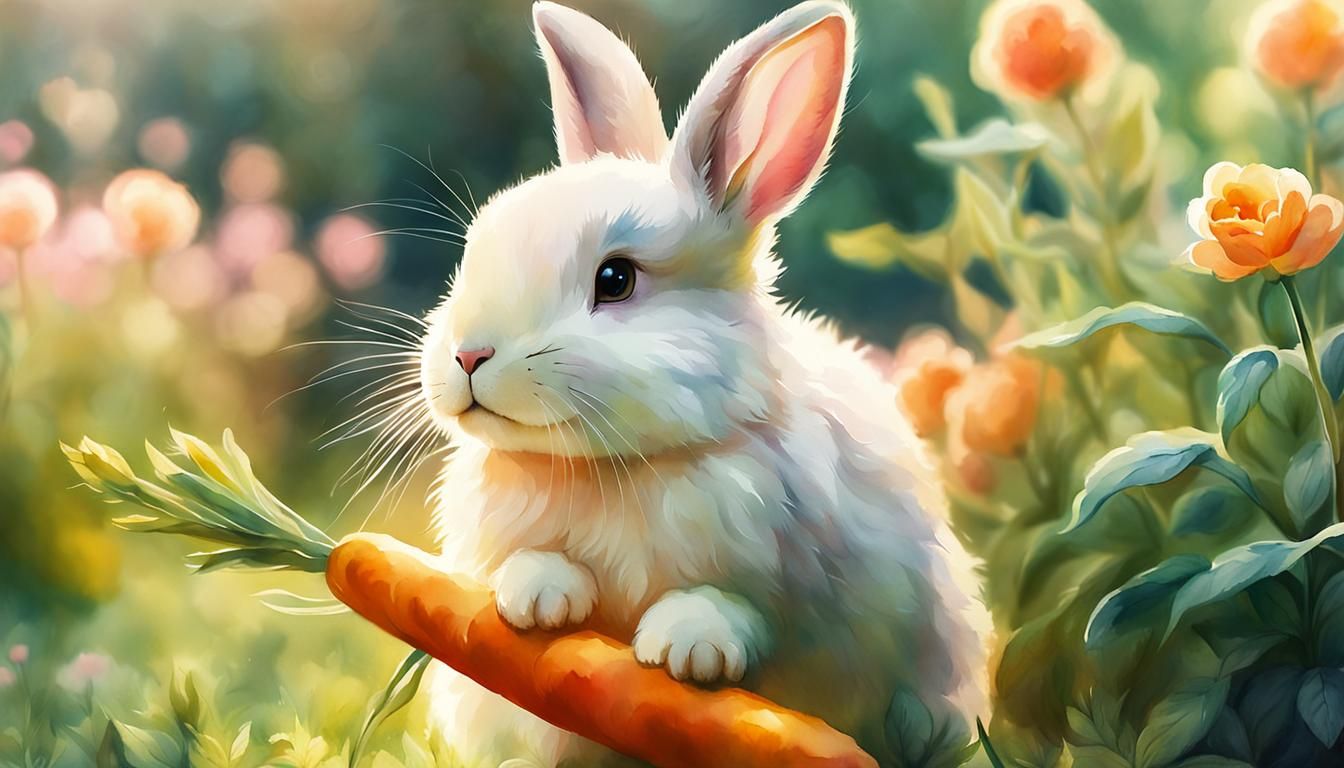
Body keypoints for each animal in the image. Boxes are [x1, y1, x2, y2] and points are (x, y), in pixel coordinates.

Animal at [415, 2, 993, 765]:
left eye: (616, 279)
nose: (469, 354)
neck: (619, 468)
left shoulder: (779, 590)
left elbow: (736, 612)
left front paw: (686, 649)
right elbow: (522, 568)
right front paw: (537, 601)